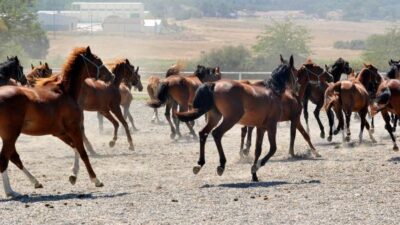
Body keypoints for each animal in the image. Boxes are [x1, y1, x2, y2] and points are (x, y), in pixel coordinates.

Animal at [0, 47, 111, 197]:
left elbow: (75, 147)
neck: (66, 93)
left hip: (8, 136)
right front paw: (96, 180)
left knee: (13, 157)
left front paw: (73, 176)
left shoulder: (59, 132)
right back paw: (10, 191)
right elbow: (83, 152)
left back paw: (34, 182)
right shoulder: (74, 128)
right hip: (11, 135)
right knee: (5, 159)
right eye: (98, 60)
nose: (111, 75)